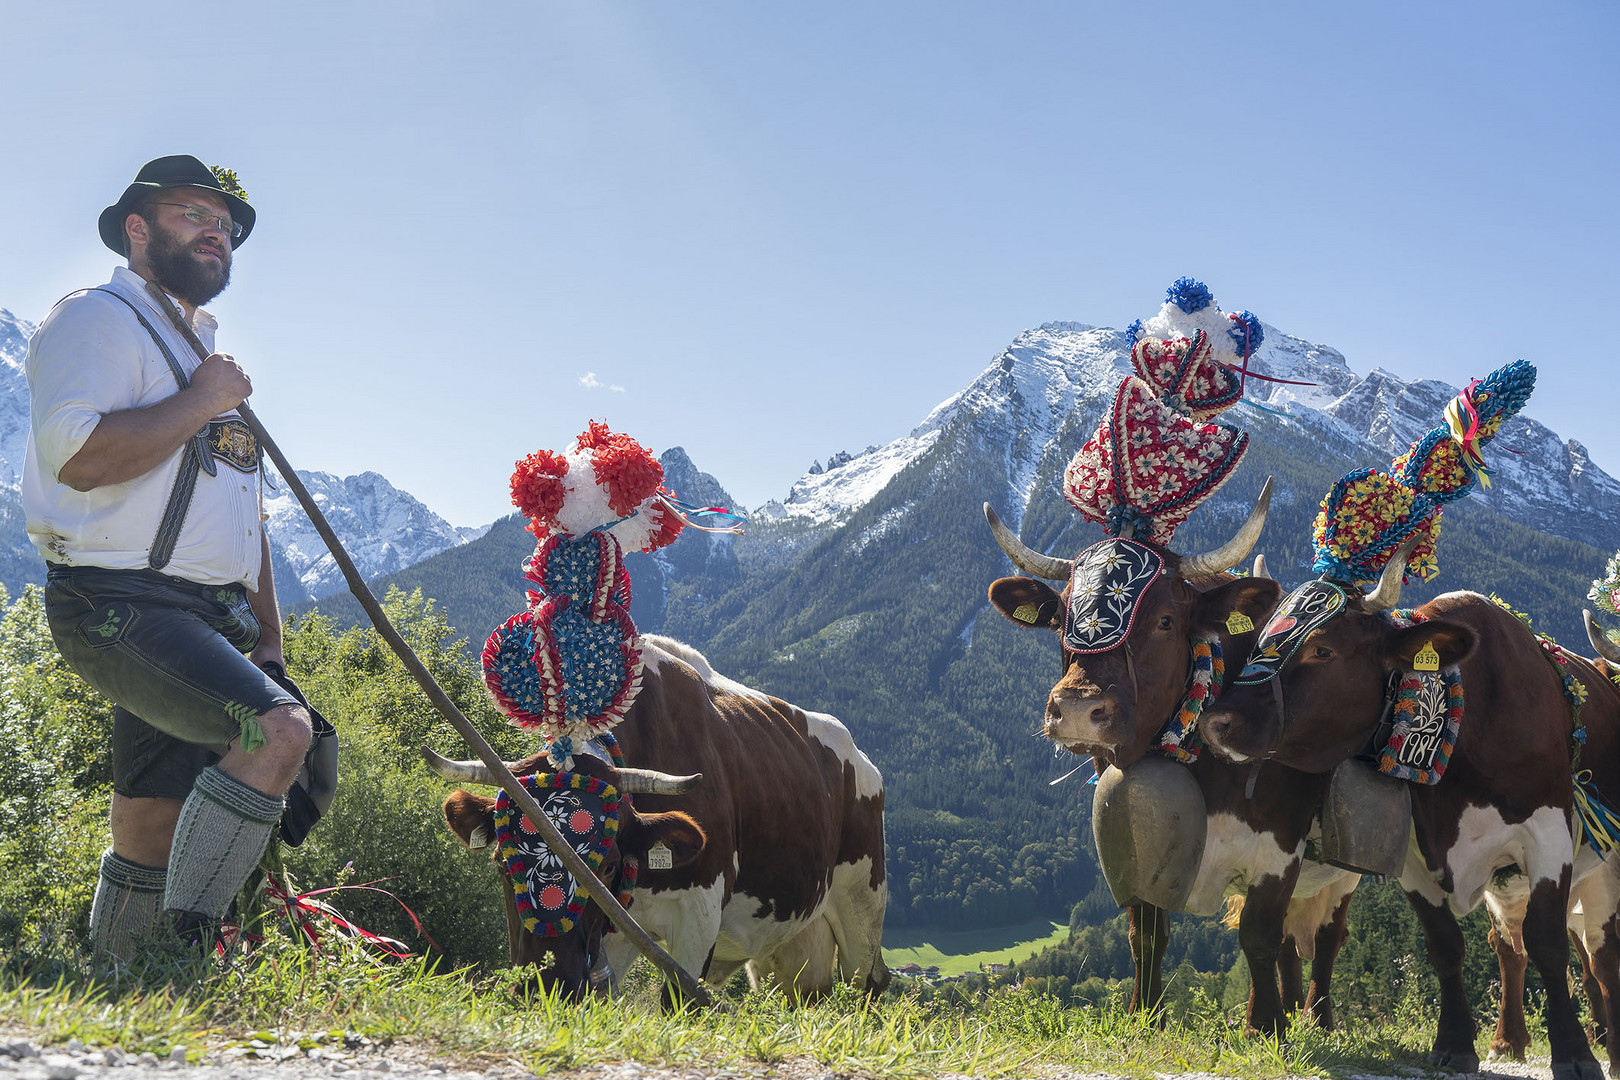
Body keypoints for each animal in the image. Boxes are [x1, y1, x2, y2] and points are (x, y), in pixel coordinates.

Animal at [430, 634, 887, 1003]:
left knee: (867, 984)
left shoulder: (699, 912)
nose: (548, 984)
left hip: (862, 908)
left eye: (607, 866)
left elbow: (679, 1002)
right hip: (790, 947)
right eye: (502, 863)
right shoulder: (618, 930)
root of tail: (863, 761)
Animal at [978, 485, 1360, 1036]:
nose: (1076, 710)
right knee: (1293, 940)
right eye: (1061, 618)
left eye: (1165, 620)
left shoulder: (1277, 852)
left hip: (1343, 871)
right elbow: (1147, 935)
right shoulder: (1136, 844)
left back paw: (1317, 1020)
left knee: (1327, 939)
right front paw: (1144, 1017)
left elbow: (1258, 936)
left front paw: (1262, 1028)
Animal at [1205, 582, 1620, 1080]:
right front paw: (1455, 1045)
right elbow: (1446, 945)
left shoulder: (1549, 833)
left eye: (1323, 649)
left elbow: (1549, 943)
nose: (1217, 722)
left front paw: (1575, 1053)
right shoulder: (1415, 858)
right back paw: (1510, 1040)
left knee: (1600, 955)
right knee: (1511, 947)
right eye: (1259, 637)